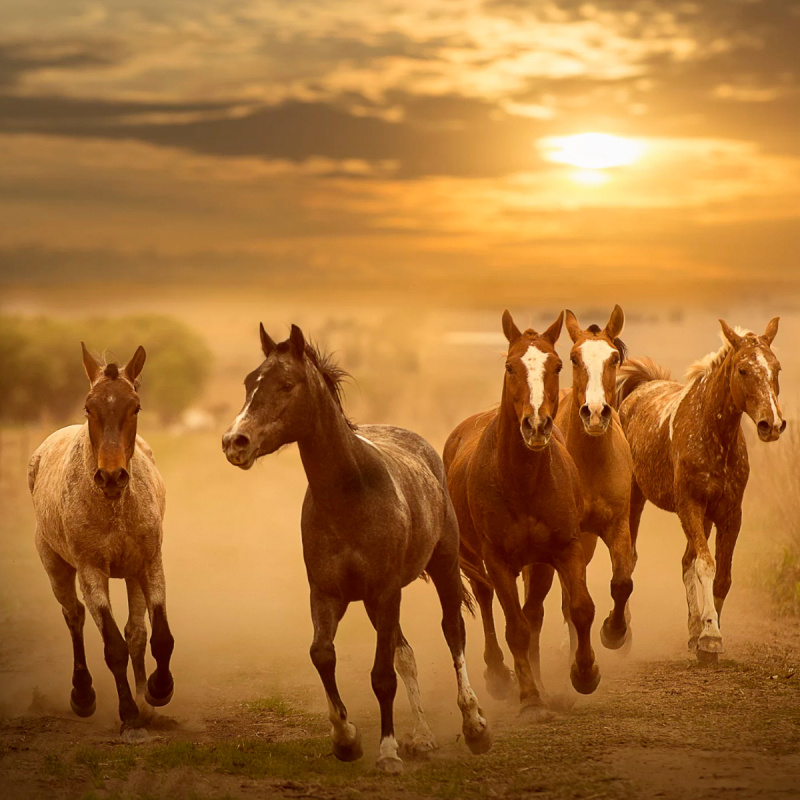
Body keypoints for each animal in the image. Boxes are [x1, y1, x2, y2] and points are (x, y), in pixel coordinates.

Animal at [28, 342, 175, 736]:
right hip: (56, 567)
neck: (114, 508)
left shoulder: (150, 563)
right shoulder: (91, 571)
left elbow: (158, 637)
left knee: (136, 631)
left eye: (135, 406)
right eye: (88, 407)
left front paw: (157, 691)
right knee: (74, 616)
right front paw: (129, 715)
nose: (111, 476)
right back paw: (82, 694)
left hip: (132, 575)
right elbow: (113, 646)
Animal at [222, 322, 490, 772]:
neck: (351, 495)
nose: (234, 442)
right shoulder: (328, 594)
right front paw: (346, 738)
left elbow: (382, 676)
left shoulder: (386, 592)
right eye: (248, 382)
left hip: (443, 568)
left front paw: (387, 752)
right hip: (374, 601)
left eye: (286, 384)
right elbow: (322, 654)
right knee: (405, 652)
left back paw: (474, 726)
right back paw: (422, 737)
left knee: (453, 632)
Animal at [444, 310, 600, 716]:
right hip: (473, 559)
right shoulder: (496, 560)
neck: (522, 482)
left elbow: (577, 608)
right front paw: (529, 698)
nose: (536, 425)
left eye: (558, 365)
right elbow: (514, 627)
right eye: (510, 367)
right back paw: (499, 675)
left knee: (534, 615)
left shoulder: (560, 550)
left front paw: (585, 674)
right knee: (485, 601)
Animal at [544, 304, 636, 648]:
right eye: (573, 358)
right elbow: (571, 598)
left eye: (614, 358)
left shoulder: (618, 525)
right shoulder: (572, 540)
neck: (592, 464)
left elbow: (622, 582)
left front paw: (614, 631)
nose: (595, 413)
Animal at [616, 318, 784, 664]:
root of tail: (637, 392)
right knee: (629, 556)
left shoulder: (730, 513)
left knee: (684, 562)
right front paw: (709, 635)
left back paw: (692, 630)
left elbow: (721, 576)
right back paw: (620, 632)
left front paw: (707, 633)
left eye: (776, 368)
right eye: (742, 370)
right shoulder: (689, 507)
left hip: (704, 517)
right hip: (635, 500)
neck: (712, 433)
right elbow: (706, 565)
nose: (771, 425)